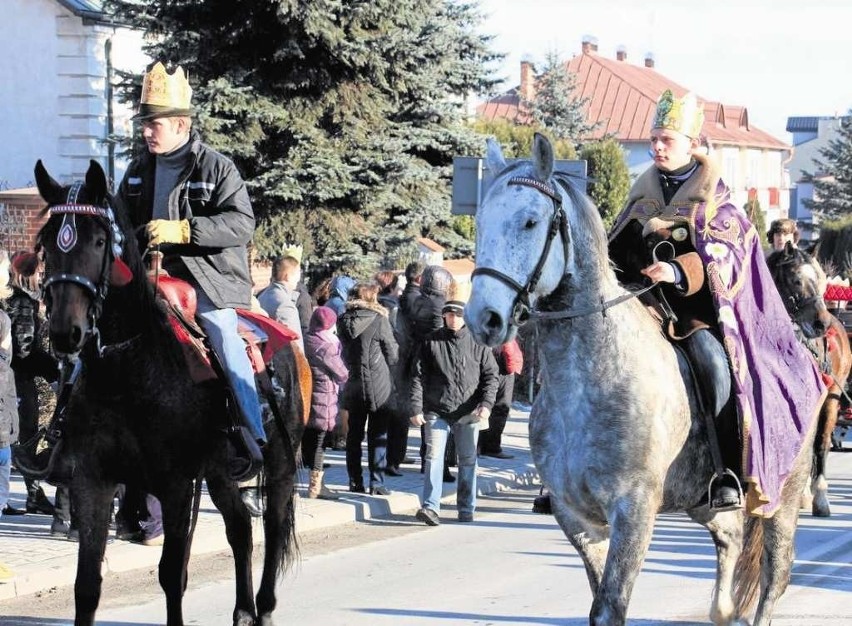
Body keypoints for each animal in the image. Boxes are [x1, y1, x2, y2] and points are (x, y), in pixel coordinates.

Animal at [466, 134, 820, 620]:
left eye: (530, 221)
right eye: (481, 222)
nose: (484, 318)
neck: (587, 383)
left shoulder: (633, 509)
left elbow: (609, 606)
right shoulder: (576, 517)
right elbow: (599, 598)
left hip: (782, 497)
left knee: (775, 575)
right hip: (702, 500)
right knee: (729, 537)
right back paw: (722, 610)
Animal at [764, 241, 852, 516]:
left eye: (821, 280)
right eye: (796, 280)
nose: (821, 324)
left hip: (832, 398)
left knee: (820, 443)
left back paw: (818, 496)